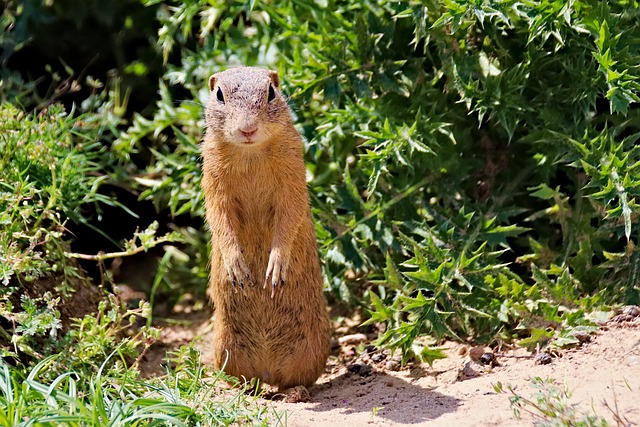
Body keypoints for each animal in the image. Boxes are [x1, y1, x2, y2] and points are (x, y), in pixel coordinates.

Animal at [200, 65, 330, 390]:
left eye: (271, 92)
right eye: (219, 94)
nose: (248, 129)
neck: (250, 152)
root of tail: (268, 368)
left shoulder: (293, 176)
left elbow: (289, 217)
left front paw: (275, 268)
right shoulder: (213, 180)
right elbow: (220, 220)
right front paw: (237, 268)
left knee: (298, 380)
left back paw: (293, 390)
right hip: (225, 346)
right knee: (243, 379)